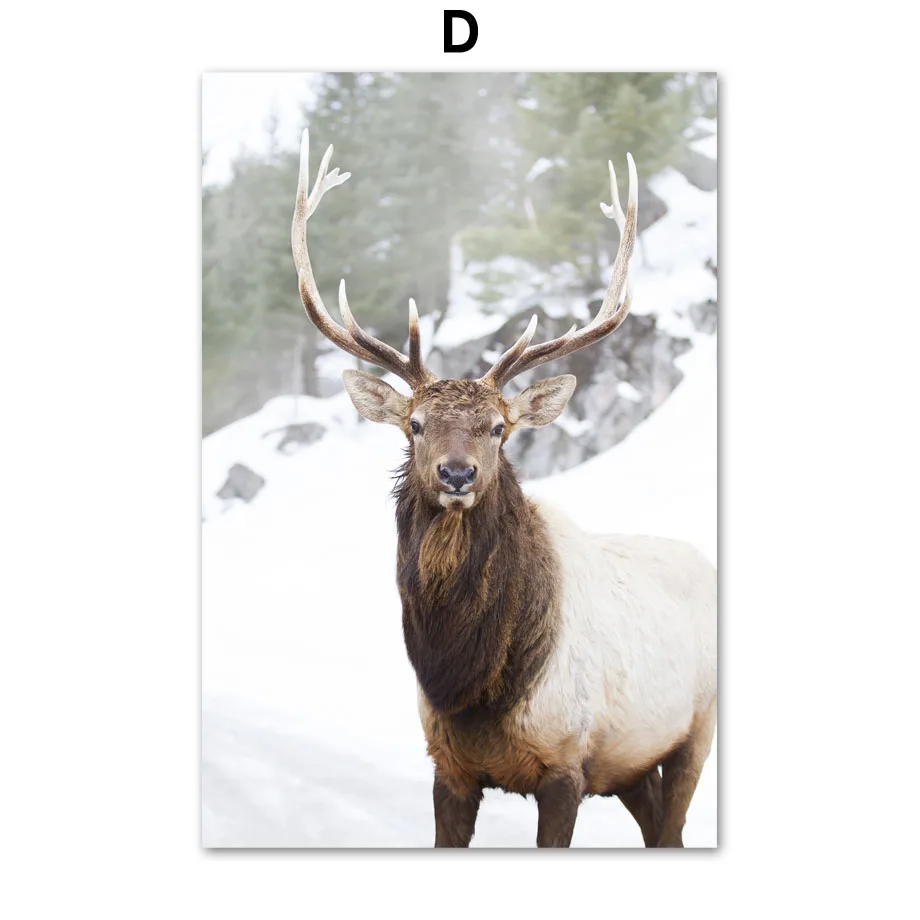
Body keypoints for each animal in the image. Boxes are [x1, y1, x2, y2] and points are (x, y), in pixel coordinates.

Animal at [291, 129, 717, 848]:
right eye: (415, 424)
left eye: (498, 428)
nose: (457, 474)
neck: (469, 686)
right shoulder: (449, 766)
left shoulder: (567, 761)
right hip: (631, 764)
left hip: (696, 728)